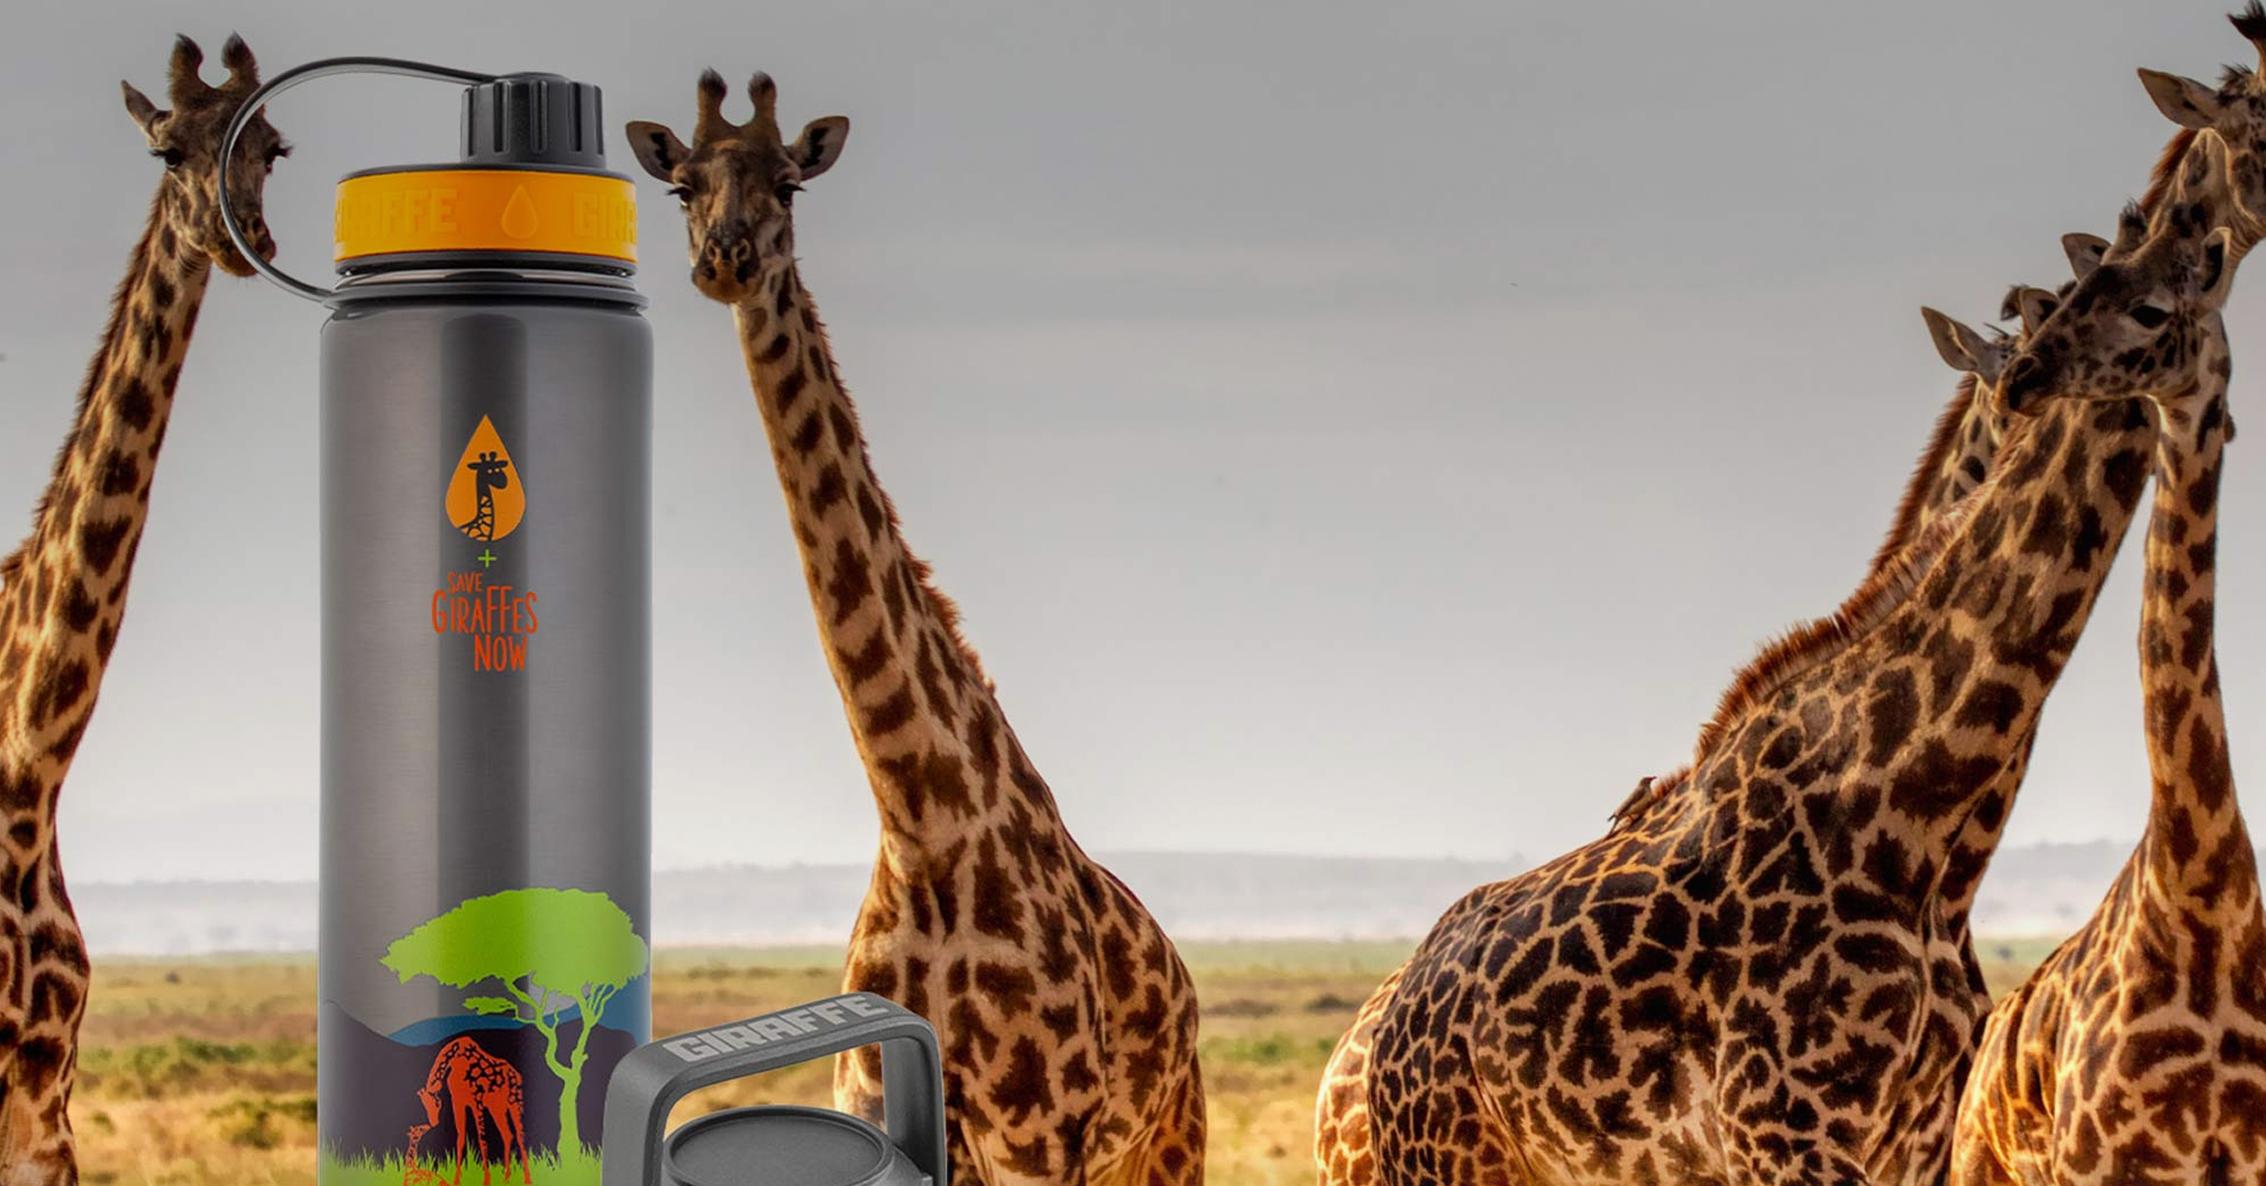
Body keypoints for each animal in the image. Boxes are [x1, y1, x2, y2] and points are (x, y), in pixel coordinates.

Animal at [416, 1036, 532, 1186]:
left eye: (437, 1104)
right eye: (425, 1105)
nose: (434, 1122)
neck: (456, 1059)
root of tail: (517, 1074)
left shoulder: (477, 1101)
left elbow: (482, 1139)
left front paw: (486, 1179)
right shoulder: (458, 1101)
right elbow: (460, 1138)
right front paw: (456, 1179)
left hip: (515, 1102)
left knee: (520, 1135)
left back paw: (527, 1179)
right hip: (497, 1107)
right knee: (507, 1134)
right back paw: (506, 1178)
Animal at [623, 73, 1205, 1186]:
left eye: (790, 184)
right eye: (681, 185)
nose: (725, 261)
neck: (924, 828)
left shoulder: (1040, 1139)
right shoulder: (893, 1104)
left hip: (1167, 1140)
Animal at [1949, 215, 2262, 1186]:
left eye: (2150, 308)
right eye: (2084, 291)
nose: (2026, 374)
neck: (2205, 899)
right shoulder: (2115, 1162)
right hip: (1978, 1166)